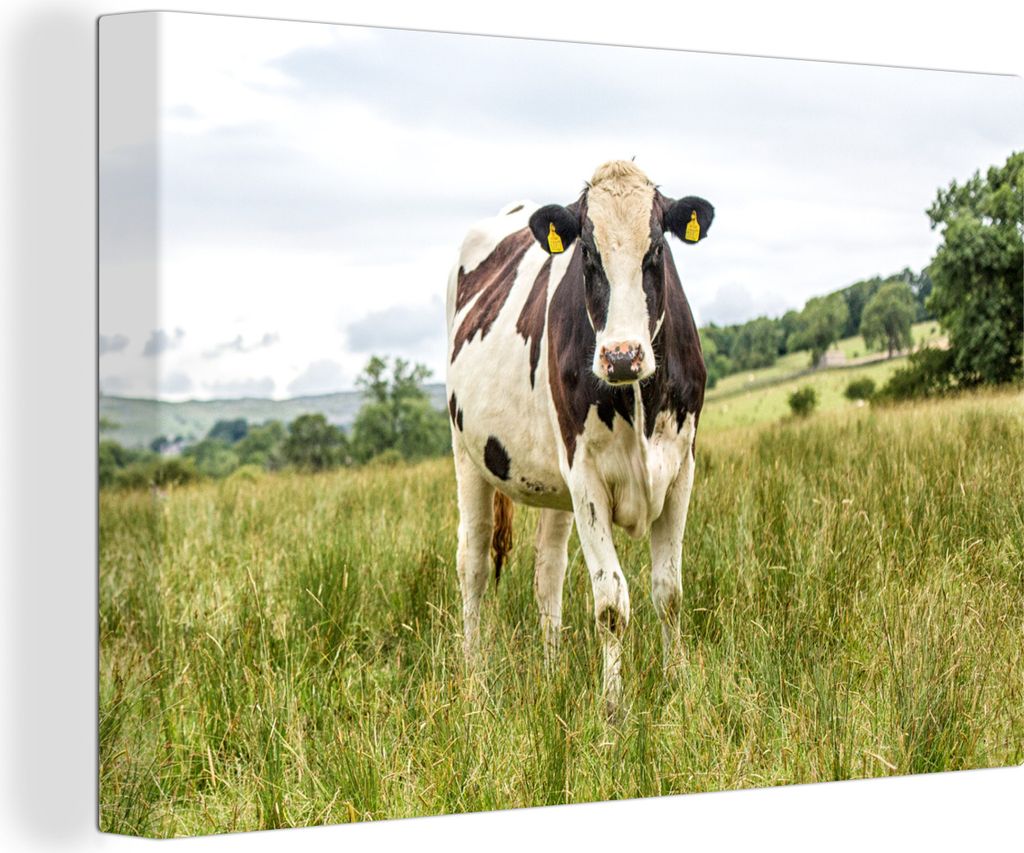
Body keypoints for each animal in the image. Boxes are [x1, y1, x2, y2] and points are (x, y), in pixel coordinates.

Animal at [445, 160, 713, 717]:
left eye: (657, 248)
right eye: (587, 254)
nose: (621, 356)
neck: (637, 395)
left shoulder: (681, 467)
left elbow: (669, 592)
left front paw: (679, 686)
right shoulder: (586, 475)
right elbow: (611, 602)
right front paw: (612, 710)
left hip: (556, 485)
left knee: (547, 570)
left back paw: (550, 673)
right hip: (467, 456)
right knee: (472, 564)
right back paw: (474, 680)